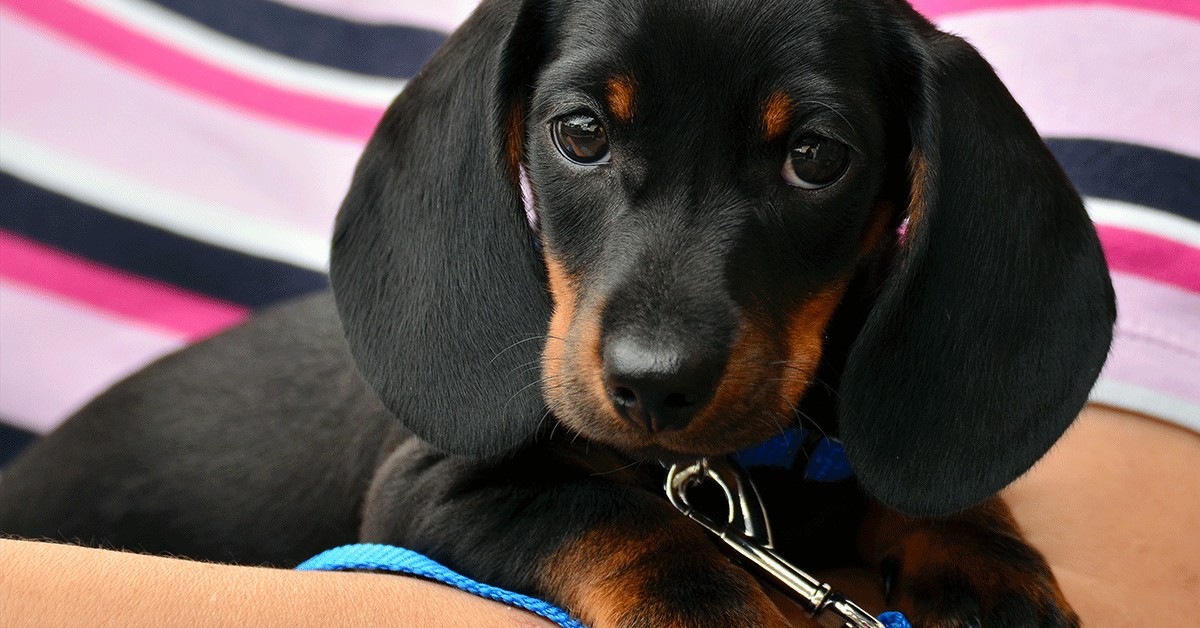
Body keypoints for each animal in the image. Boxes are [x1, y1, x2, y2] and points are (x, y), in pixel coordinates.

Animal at [0, 0, 1113, 624]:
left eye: (816, 156)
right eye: (581, 132)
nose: (654, 386)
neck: (732, 474)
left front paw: (985, 557)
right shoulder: (431, 489)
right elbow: (616, 516)